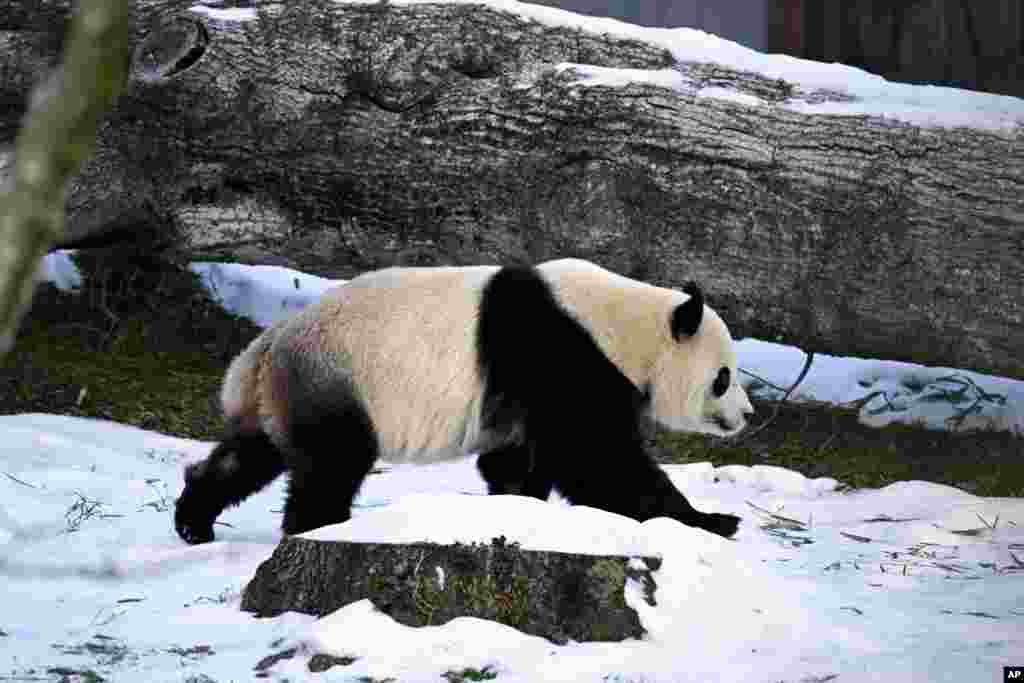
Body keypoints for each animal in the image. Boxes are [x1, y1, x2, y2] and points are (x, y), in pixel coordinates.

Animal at [174, 258, 754, 544]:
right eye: (723, 377)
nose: (747, 414)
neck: (625, 325)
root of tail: (263, 347)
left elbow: (519, 457)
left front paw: (516, 504)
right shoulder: (561, 350)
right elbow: (597, 457)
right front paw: (712, 521)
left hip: (286, 392)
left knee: (251, 455)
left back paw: (193, 522)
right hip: (335, 377)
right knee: (334, 461)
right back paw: (319, 528)